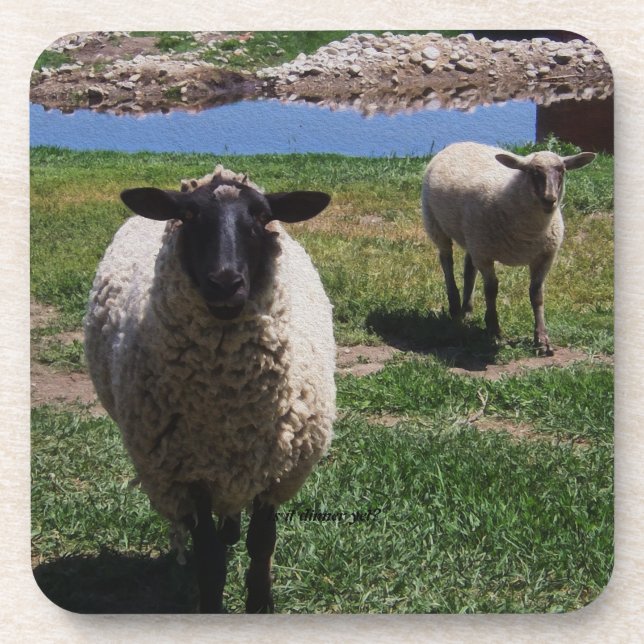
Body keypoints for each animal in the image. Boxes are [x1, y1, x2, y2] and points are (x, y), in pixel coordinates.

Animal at [83, 164, 336, 613]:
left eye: (261, 216)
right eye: (187, 216)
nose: (225, 283)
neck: (228, 404)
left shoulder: (275, 469)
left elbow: (262, 543)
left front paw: (260, 603)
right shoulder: (190, 472)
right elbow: (209, 557)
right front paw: (213, 603)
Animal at [421, 142, 596, 355]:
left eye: (561, 171)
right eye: (533, 172)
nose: (549, 199)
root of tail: (459, 143)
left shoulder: (545, 257)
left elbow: (537, 294)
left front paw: (542, 339)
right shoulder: (485, 255)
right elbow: (491, 289)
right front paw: (494, 330)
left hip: (472, 239)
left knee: (469, 269)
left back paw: (467, 311)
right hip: (436, 224)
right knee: (447, 260)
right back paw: (455, 308)